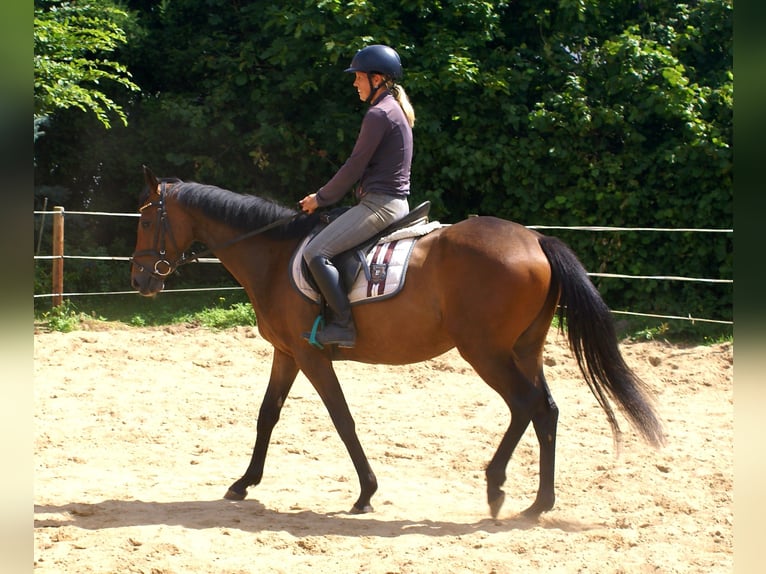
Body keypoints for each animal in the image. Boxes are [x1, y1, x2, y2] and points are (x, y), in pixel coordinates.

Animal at [130, 166, 664, 518]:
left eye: (144, 219)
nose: (140, 279)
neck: (275, 255)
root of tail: (535, 240)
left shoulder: (310, 356)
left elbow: (342, 419)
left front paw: (366, 492)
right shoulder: (287, 353)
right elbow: (267, 415)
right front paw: (243, 484)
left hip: (486, 352)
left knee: (525, 405)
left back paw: (496, 488)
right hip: (523, 349)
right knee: (546, 410)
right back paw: (539, 504)